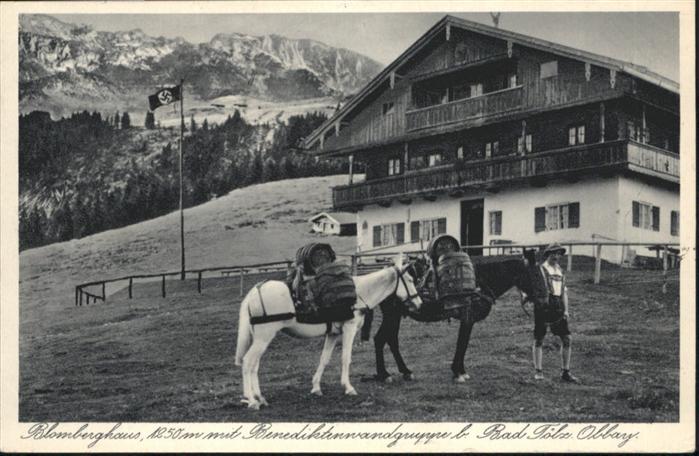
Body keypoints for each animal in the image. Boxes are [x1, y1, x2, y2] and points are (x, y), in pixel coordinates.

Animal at [234, 258, 422, 409]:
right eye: (410, 280)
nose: (419, 303)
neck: (359, 293)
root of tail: (255, 291)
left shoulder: (332, 334)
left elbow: (324, 359)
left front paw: (316, 388)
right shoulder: (349, 328)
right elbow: (346, 358)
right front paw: (348, 387)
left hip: (261, 338)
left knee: (254, 365)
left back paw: (260, 397)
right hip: (264, 337)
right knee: (248, 362)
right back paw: (251, 400)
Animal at [364, 249, 548, 383]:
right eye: (536, 274)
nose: (545, 300)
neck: (479, 282)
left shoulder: (468, 320)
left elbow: (463, 344)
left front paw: (460, 371)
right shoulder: (467, 319)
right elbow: (462, 344)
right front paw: (458, 372)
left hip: (395, 316)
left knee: (391, 340)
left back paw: (405, 371)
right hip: (392, 315)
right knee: (380, 339)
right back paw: (384, 374)